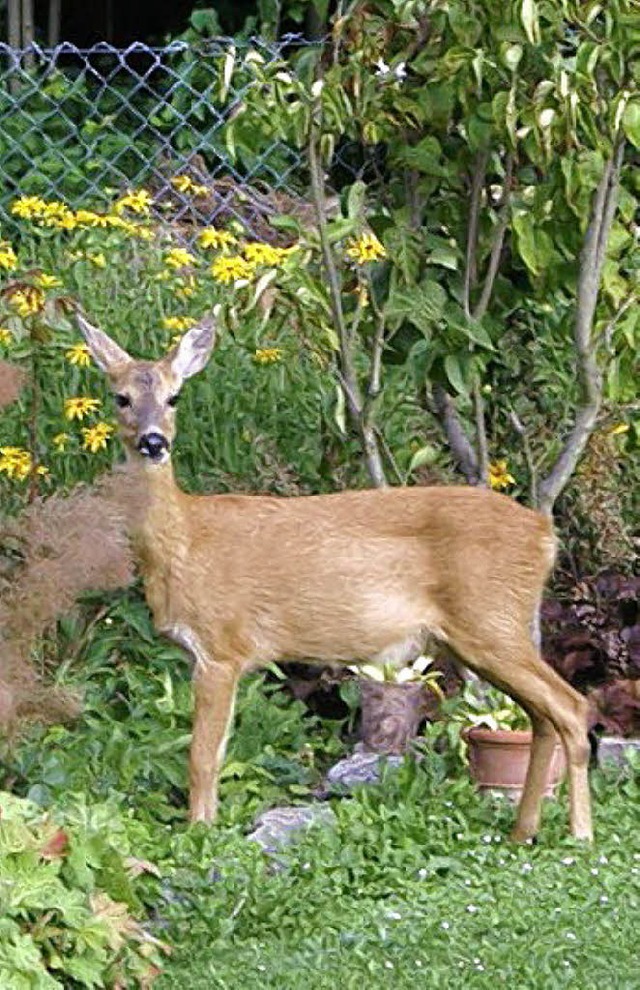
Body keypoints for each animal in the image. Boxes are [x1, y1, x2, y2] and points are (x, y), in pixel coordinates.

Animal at [76, 310, 596, 844]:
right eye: (122, 397)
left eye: (174, 397)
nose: (153, 442)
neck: (185, 539)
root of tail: (544, 535)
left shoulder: (222, 647)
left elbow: (202, 758)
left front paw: (200, 832)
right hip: (486, 634)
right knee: (543, 717)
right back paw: (523, 831)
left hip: (491, 622)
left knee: (572, 707)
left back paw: (580, 834)